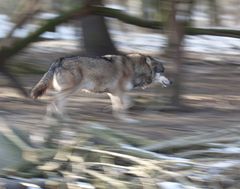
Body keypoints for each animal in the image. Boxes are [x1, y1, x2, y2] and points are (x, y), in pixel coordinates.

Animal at [31, 54, 172, 122]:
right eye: (163, 71)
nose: (171, 82)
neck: (134, 68)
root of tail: (59, 60)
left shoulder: (113, 92)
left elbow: (125, 104)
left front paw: (114, 113)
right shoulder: (117, 91)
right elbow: (123, 106)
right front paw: (125, 119)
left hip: (68, 91)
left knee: (57, 102)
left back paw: (58, 118)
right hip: (70, 90)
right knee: (54, 101)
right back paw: (57, 118)